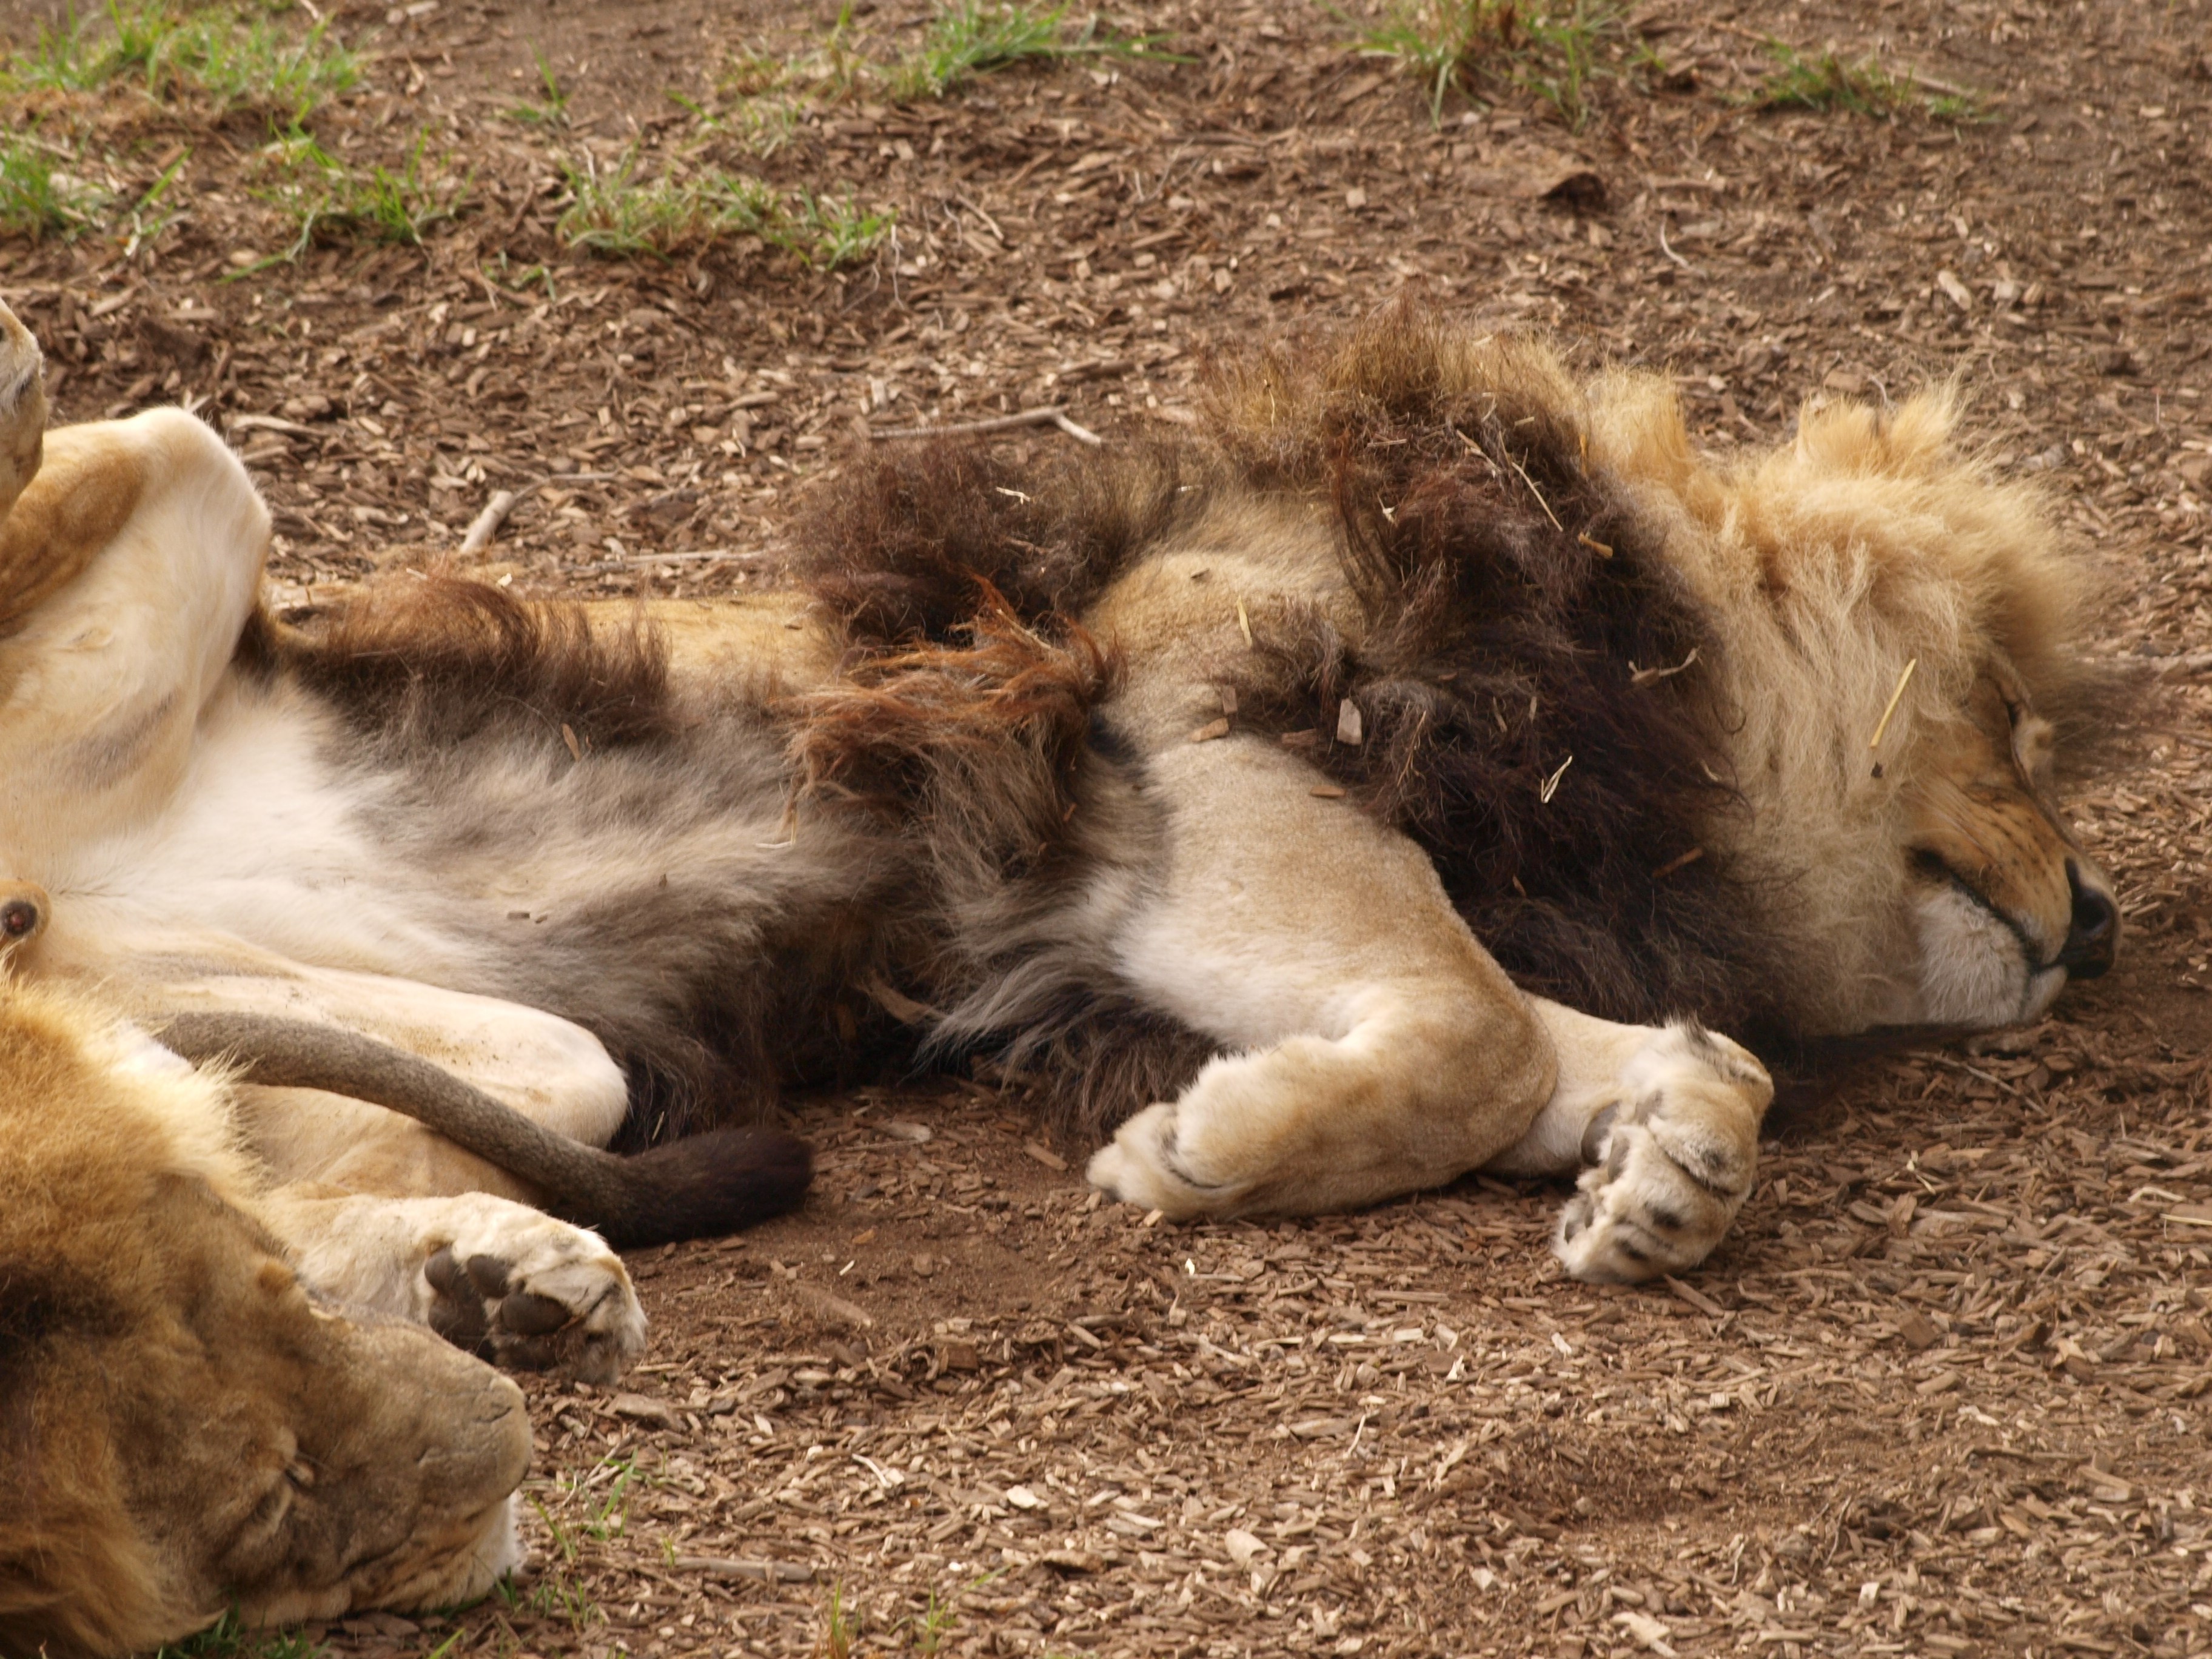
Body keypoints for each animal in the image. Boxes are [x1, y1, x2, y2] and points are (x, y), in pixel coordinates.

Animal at [0, 296, 2114, 1647]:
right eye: (2011, 724)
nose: (2097, 923)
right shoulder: (1179, 729)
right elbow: (1475, 1035)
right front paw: (1211, 1153)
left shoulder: (1130, 920)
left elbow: (1582, 1050)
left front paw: (1663, 1175)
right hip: (201, 473)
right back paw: (19, 369)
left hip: (486, 1050)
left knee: (266, 1208)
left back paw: (503, 1285)